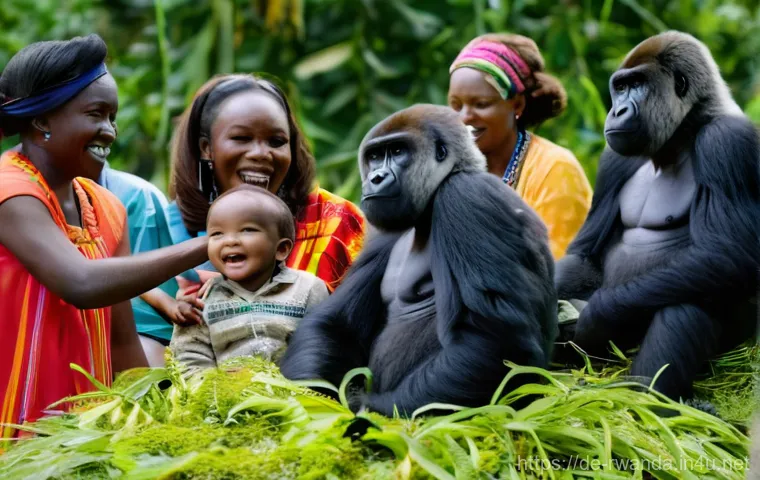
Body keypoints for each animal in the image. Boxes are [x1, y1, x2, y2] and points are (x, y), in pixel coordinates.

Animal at [279, 104, 558, 417]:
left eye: (398, 151)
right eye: (375, 156)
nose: (376, 178)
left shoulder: (468, 197)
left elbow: (496, 340)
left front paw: (362, 407)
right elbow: (336, 323)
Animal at [554, 31, 760, 403]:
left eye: (637, 85)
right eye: (620, 87)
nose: (617, 110)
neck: (684, 133)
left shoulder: (726, 141)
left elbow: (727, 253)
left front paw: (594, 318)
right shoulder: (613, 160)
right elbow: (585, 255)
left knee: (685, 304)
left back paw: (648, 397)